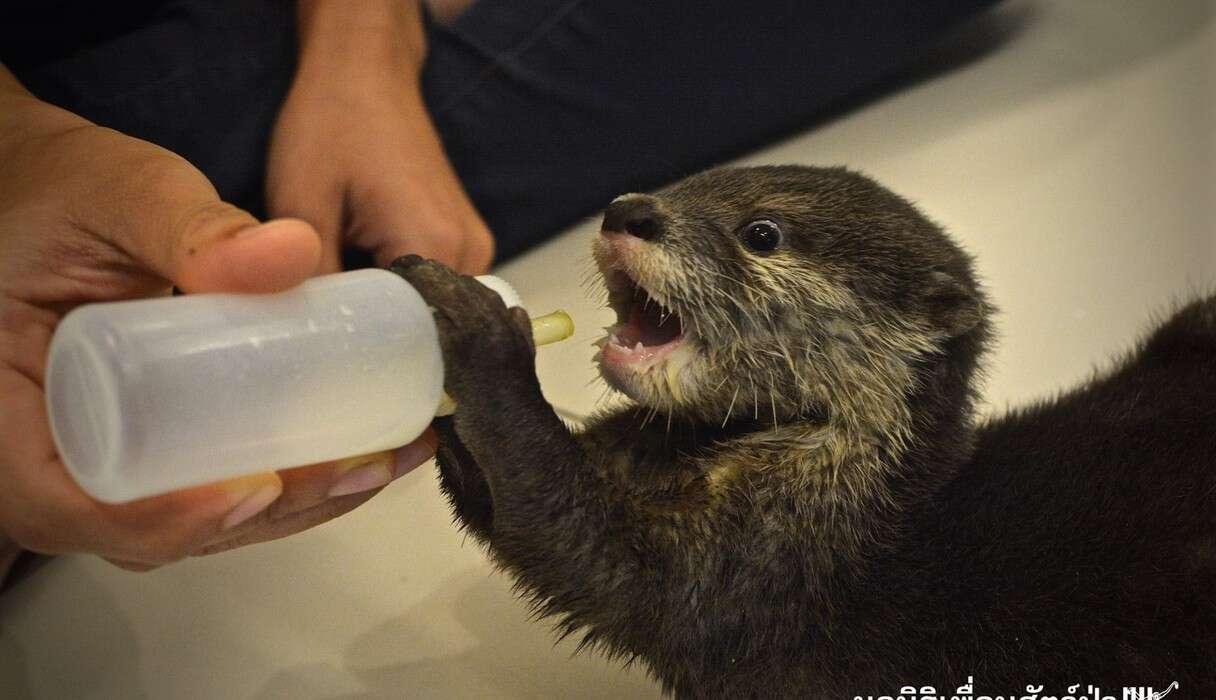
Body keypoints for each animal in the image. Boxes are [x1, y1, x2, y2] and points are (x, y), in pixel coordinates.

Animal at [393, 166, 1211, 695]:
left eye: (762, 233)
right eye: (688, 185)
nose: (629, 210)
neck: (854, 512)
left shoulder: (760, 568)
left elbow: (585, 549)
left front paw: (475, 330)